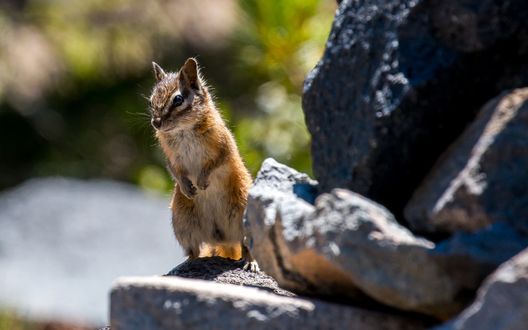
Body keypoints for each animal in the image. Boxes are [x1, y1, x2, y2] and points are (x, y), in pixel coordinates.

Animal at [148, 58, 260, 272]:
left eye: (178, 100)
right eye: (151, 100)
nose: (156, 123)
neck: (184, 130)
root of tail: (223, 239)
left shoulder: (224, 147)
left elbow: (215, 163)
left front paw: (201, 182)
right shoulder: (171, 158)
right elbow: (175, 171)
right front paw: (188, 187)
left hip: (244, 215)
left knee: (245, 246)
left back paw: (250, 262)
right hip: (183, 222)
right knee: (194, 250)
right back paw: (185, 264)